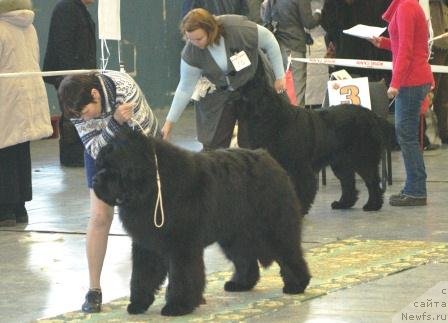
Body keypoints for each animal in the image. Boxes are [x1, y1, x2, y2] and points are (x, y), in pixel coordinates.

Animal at [93, 130, 312, 318]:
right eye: (100, 164)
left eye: (112, 167)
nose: (95, 180)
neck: (153, 186)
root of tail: (268, 158)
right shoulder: (147, 245)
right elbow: (141, 275)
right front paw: (138, 304)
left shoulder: (182, 246)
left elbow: (182, 277)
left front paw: (177, 306)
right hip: (235, 235)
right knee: (245, 258)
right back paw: (240, 284)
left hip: (274, 227)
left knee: (289, 253)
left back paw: (297, 285)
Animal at [236, 60, 394, 215]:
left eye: (244, 96)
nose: (232, 99)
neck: (270, 117)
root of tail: (371, 115)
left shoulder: (299, 166)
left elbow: (301, 188)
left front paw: (299, 209)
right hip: (340, 161)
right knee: (348, 181)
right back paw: (343, 203)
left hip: (362, 157)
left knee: (371, 180)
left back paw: (373, 205)